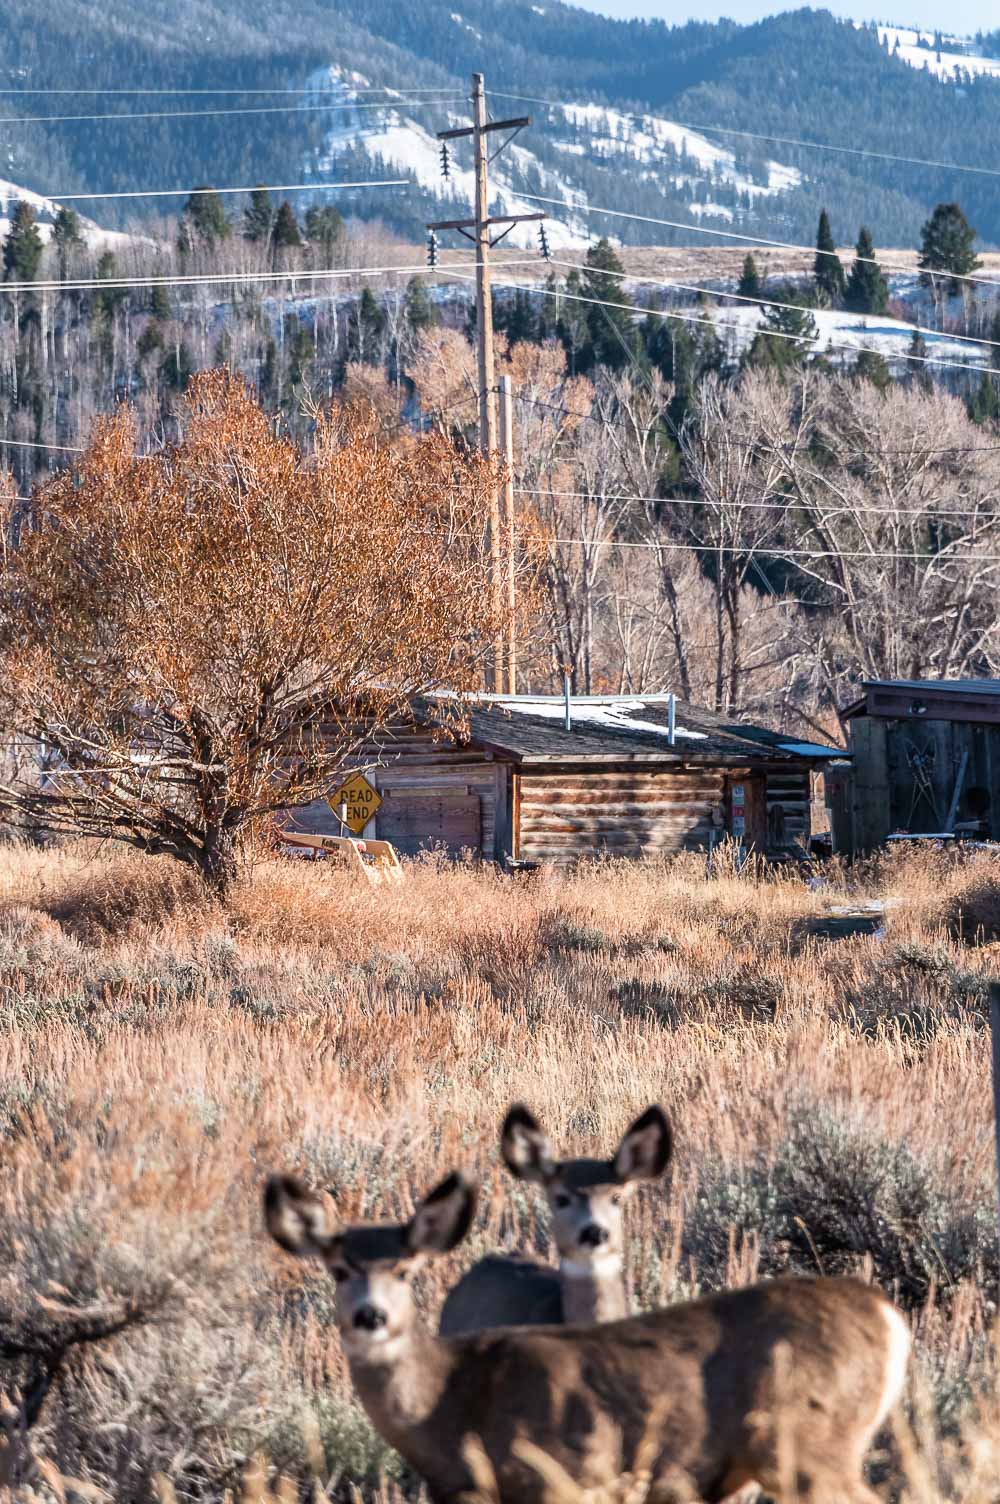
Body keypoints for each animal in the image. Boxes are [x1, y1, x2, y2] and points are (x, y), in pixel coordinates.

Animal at [264, 1173, 914, 1504]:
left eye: (404, 1270)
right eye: (337, 1270)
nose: (370, 1316)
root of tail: (889, 1316)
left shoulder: (564, 1474)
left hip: (808, 1444)